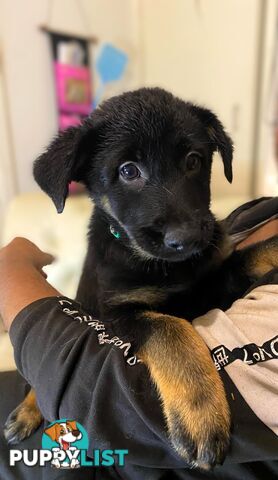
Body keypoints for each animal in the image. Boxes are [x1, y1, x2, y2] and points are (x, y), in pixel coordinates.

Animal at [4, 87, 278, 468]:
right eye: (128, 171)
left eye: (193, 160)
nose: (188, 238)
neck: (168, 268)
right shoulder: (119, 312)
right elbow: (171, 329)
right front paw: (201, 413)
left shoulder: (214, 280)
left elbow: (253, 253)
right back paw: (27, 411)